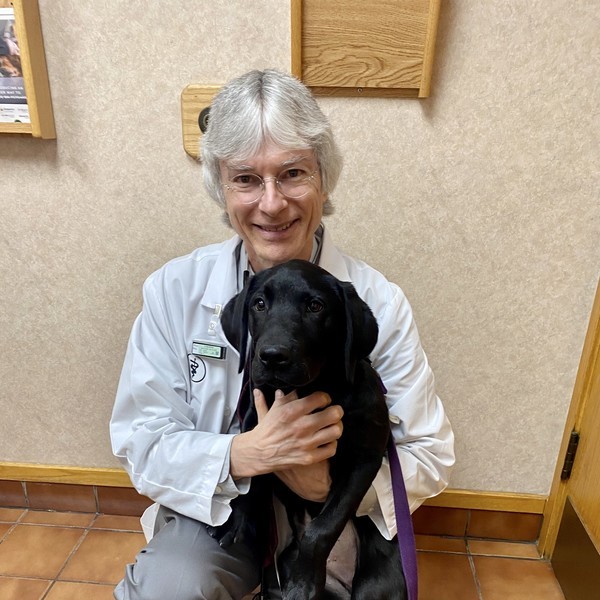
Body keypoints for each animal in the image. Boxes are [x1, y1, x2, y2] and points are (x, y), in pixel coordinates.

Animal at [213, 258, 406, 600]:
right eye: (259, 304)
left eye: (316, 306)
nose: (272, 356)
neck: (305, 391)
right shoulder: (255, 430)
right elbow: (252, 480)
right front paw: (236, 522)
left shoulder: (364, 459)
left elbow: (324, 526)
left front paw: (304, 583)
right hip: (275, 578)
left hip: (376, 586)